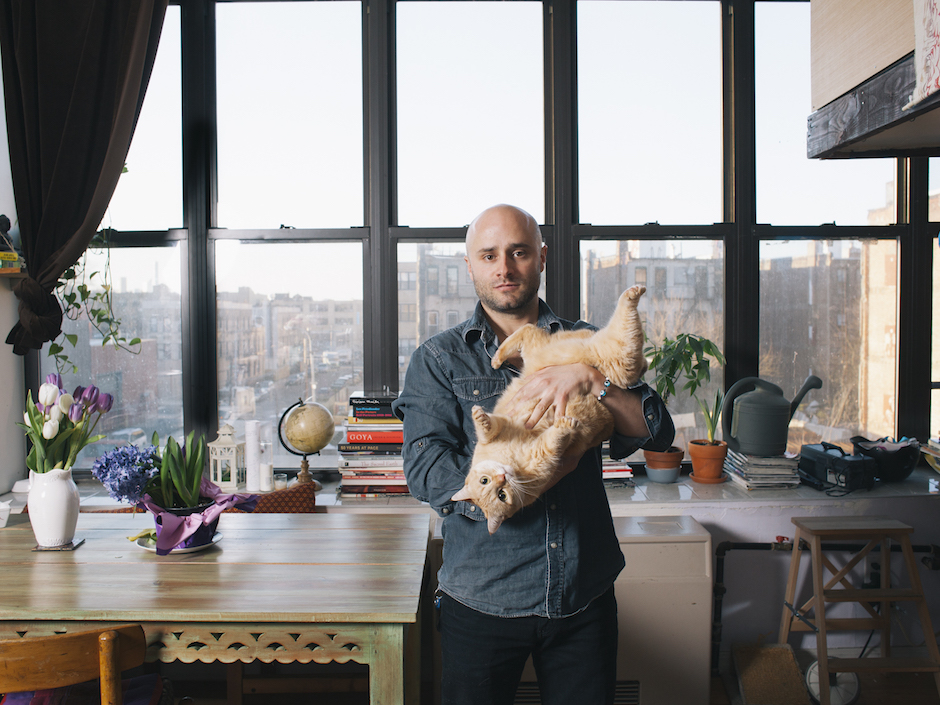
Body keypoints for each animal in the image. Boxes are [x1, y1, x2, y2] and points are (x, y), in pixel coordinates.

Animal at [454, 284, 648, 532]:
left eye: (485, 481)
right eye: (501, 495)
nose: (502, 477)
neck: (511, 460)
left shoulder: (503, 424)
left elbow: (488, 427)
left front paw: (480, 417)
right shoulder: (545, 456)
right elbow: (554, 439)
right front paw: (565, 424)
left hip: (561, 351)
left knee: (527, 330)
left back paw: (497, 358)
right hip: (618, 360)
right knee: (630, 348)